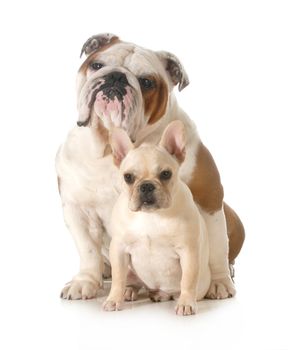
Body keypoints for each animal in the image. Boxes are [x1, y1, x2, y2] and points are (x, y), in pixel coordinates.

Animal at [102, 120, 210, 314]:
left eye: (166, 174)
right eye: (128, 177)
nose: (146, 186)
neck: (151, 216)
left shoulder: (188, 251)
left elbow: (188, 280)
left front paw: (186, 303)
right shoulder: (119, 249)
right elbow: (117, 278)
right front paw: (114, 299)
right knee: (131, 281)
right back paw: (129, 291)